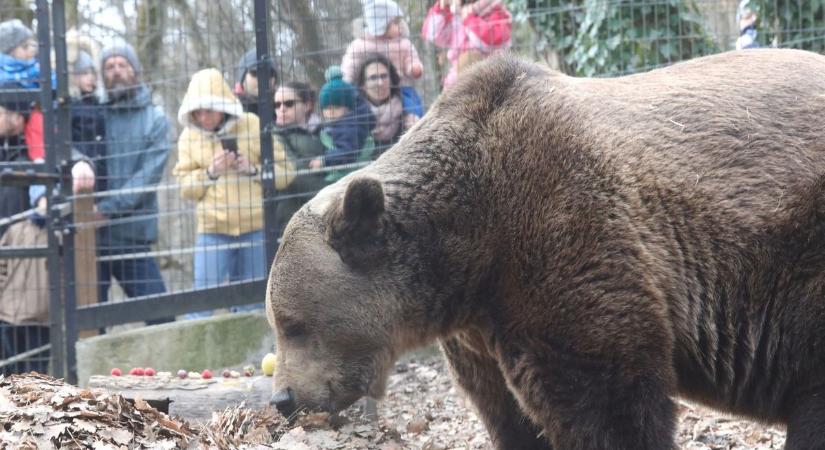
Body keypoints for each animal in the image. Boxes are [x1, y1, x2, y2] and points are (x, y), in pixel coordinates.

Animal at [266, 49, 824, 450]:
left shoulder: (560, 232)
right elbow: (508, 414)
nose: (284, 398)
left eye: (293, 324)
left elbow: (606, 394)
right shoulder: (477, 327)